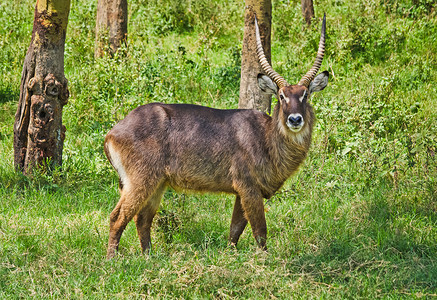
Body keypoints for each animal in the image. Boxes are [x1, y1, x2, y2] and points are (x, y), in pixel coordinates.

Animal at [102, 14, 328, 258]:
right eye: (281, 95)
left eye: (305, 95)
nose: (295, 119)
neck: (266, 137)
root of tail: (112, 133)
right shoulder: (248, 187)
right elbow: (260, 230)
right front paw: (265, 260)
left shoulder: (242, 191)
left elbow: (235, 229)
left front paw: (231, 255)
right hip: (140, 180)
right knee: (117, 217)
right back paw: (113, 259)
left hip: (157, 184)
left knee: (142, 219)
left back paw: (149, 256)